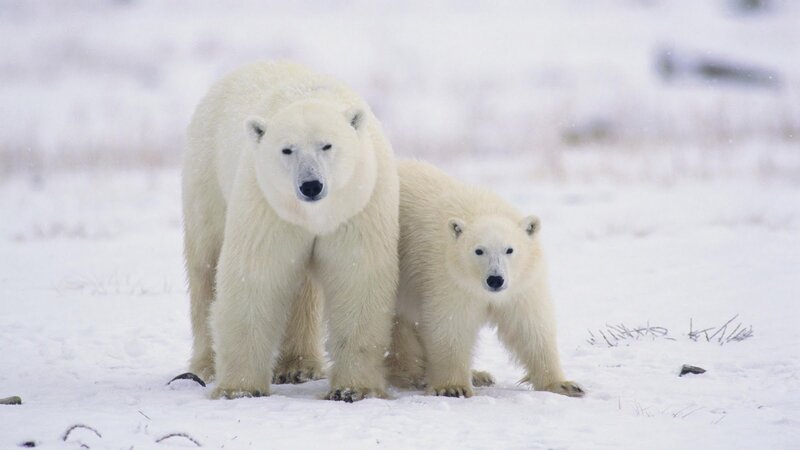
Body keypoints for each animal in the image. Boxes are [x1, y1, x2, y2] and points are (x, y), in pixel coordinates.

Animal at [182, 61, 399, 402]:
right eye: (287, 150)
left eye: (327, 145)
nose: (311, 185)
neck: (314, 214)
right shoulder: (267, 203)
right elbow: (256, 274)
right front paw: (239, 388)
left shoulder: (358, 203)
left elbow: (357, 277)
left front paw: (352, 389)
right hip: (206, 177)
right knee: (205, 266)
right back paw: (205, 366)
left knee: (302, 289)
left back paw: (299, 367)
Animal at [386, 160, 584, 398]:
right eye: (478, 251)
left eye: (510, 249)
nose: (495, 279)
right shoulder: (449, 277)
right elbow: (451, 324)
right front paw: (453, 387)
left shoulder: (522, 284)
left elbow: (530, 326)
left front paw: (564, 385)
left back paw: (479, 375)